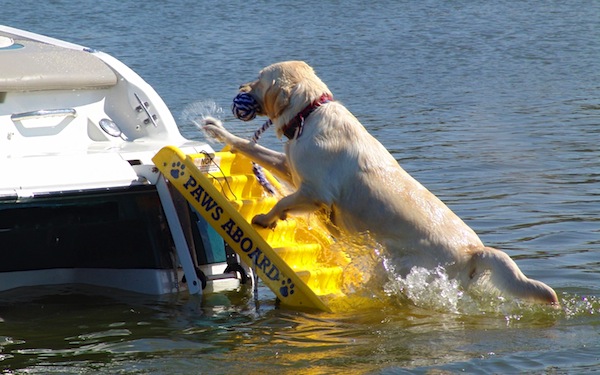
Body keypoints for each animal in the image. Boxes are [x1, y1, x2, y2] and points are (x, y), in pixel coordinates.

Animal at [204, 61, 560, 306]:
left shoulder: (315, 190)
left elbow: (283, 201)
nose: (240, 85)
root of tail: (475, 250)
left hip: (402, 268)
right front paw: (218, 131)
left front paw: (265, 218)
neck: (310, 113)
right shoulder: (291, 167)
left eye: (260, 78)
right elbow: (252, 148)